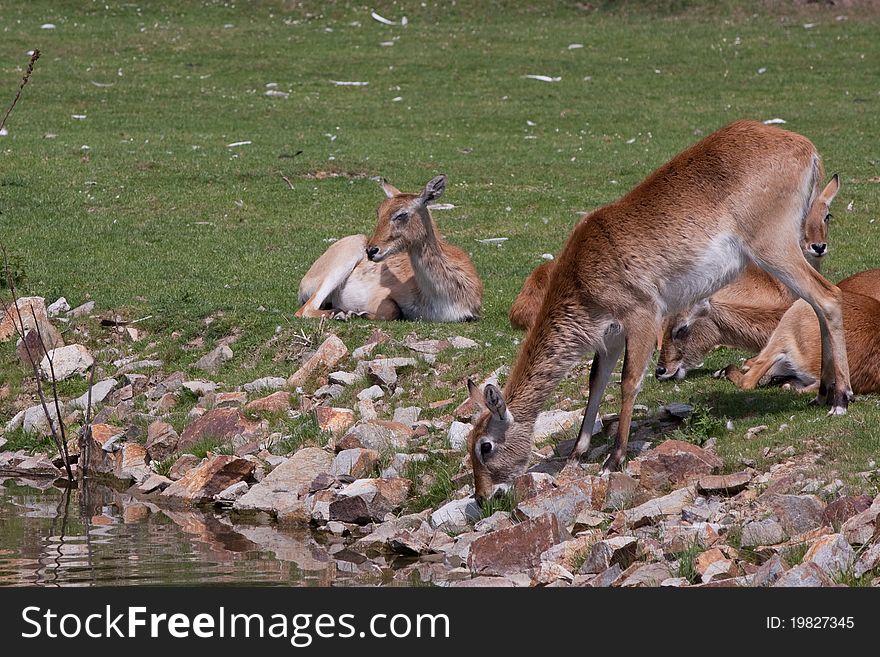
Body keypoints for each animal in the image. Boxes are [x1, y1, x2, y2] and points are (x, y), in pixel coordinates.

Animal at [296, 176, 482, 322]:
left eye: (401, 214)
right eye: (379, 212)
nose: (371, 250)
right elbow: (393, 311)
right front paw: (355, 313)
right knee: (304, 310)